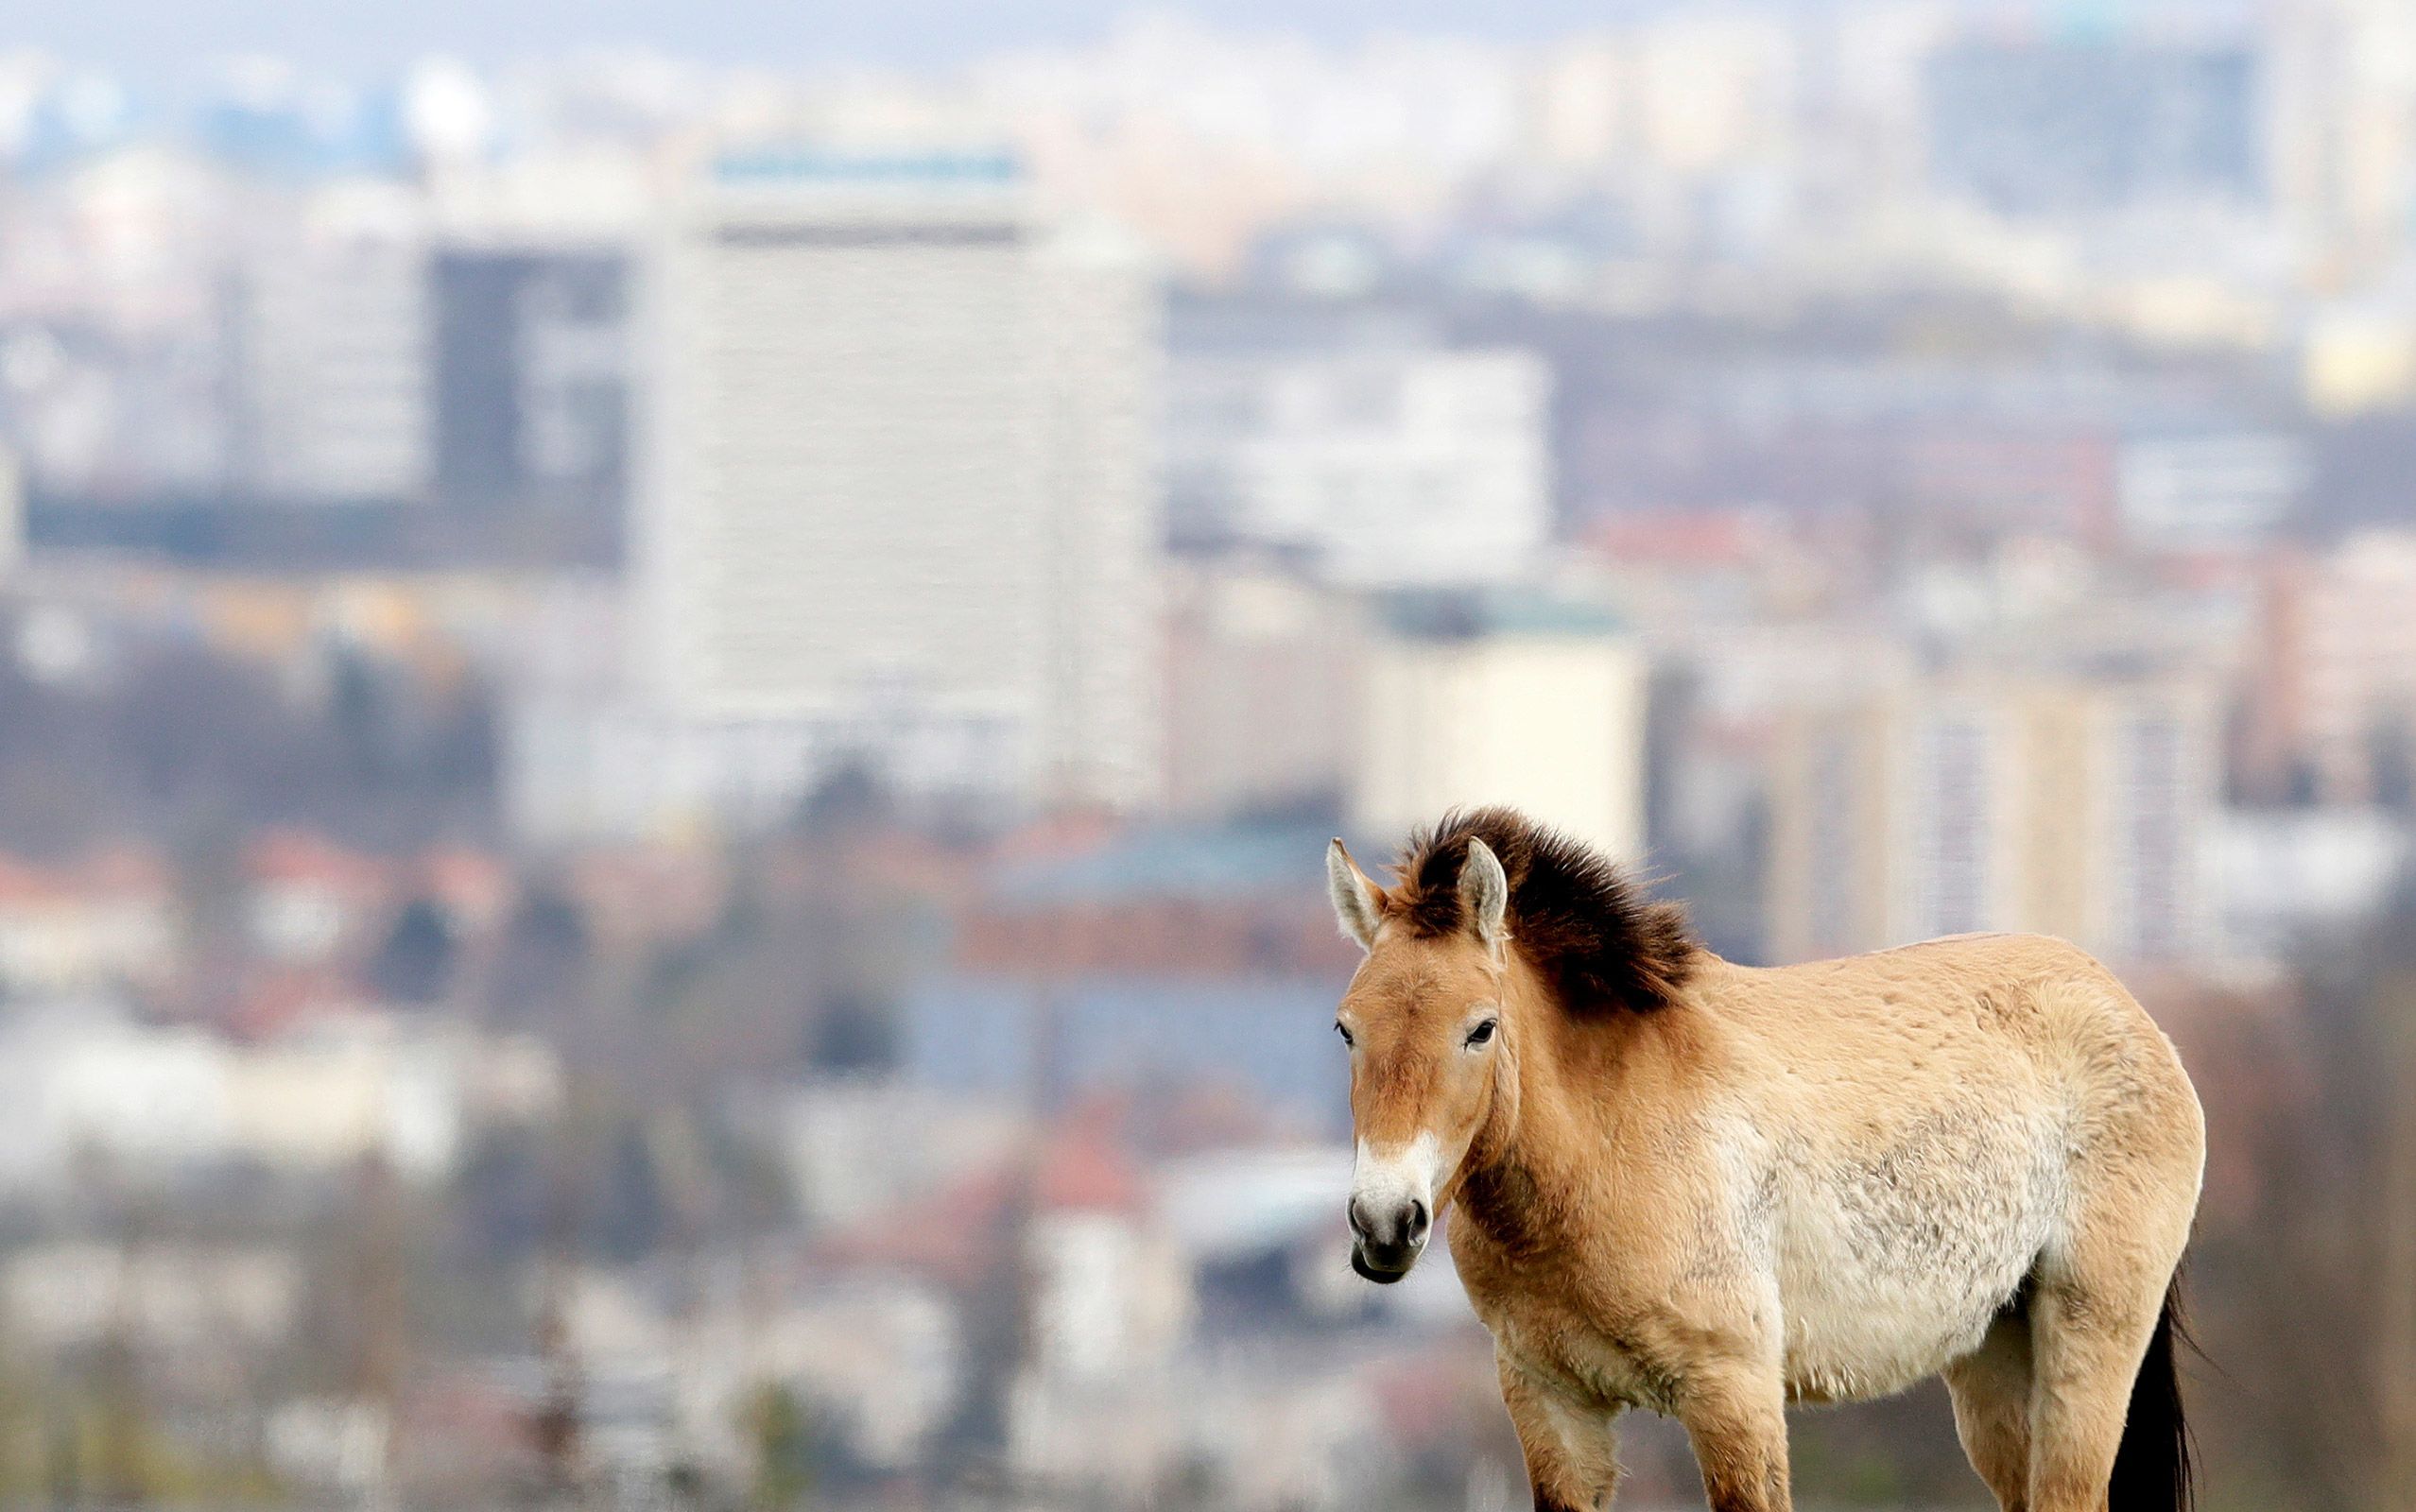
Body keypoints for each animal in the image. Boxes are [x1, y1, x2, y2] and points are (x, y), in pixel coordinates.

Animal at [1323, 806, 2213, 1497]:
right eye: (1345, 1029)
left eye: (1481, 1028)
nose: (1384, 1223)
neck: (1603, 1147)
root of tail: (2128, 1009)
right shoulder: (1551, 1402)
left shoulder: (1733, 1393)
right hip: (1996, 1355)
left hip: (2089, 1341)